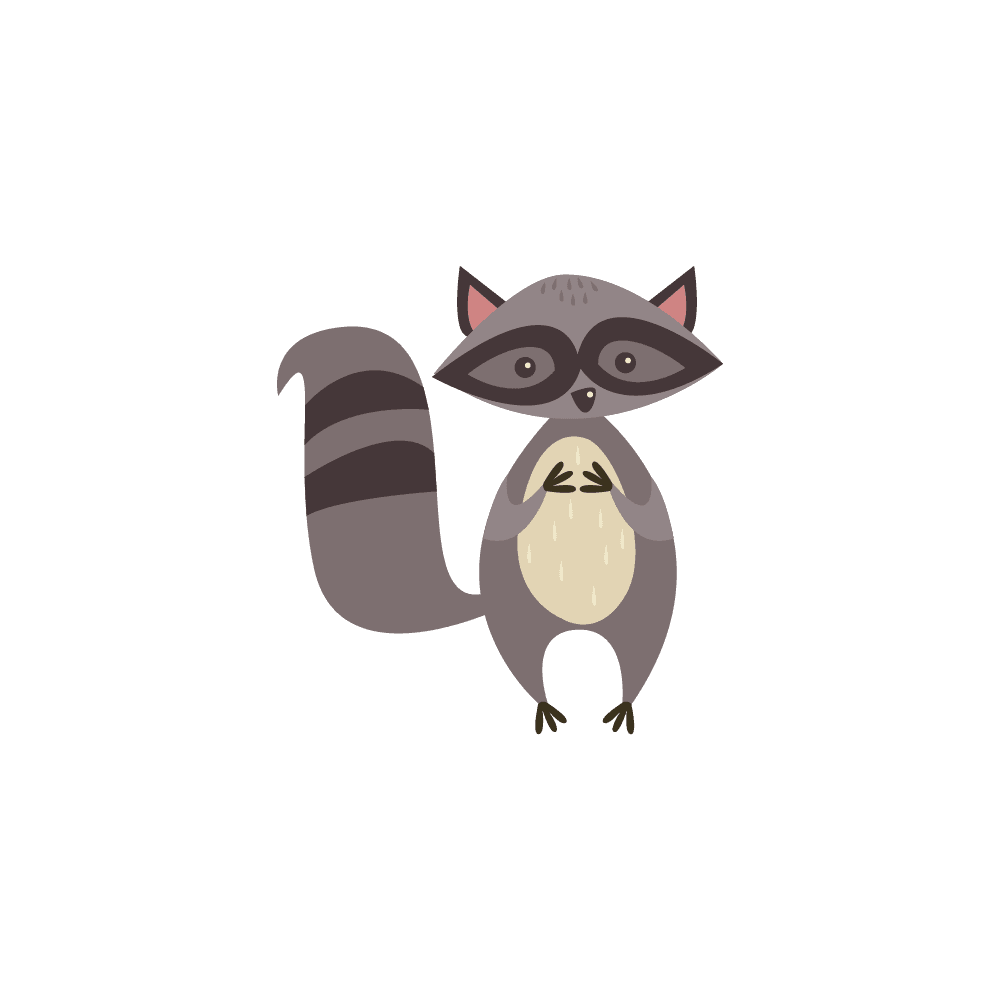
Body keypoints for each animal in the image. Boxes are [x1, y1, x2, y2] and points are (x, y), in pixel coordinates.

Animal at [277, 267, 722, 734]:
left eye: (627, 362)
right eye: (526, 366)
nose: (584, 397)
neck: (578, 432)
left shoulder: (632, 471)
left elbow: (644, 508)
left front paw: (608, 486)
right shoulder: (520, 478)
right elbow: (511, 512)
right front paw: (546, 487)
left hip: (644, 605)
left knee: (636, 654)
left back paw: (623, 703)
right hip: (517, 608)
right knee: (527, 658)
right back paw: (544, 703)